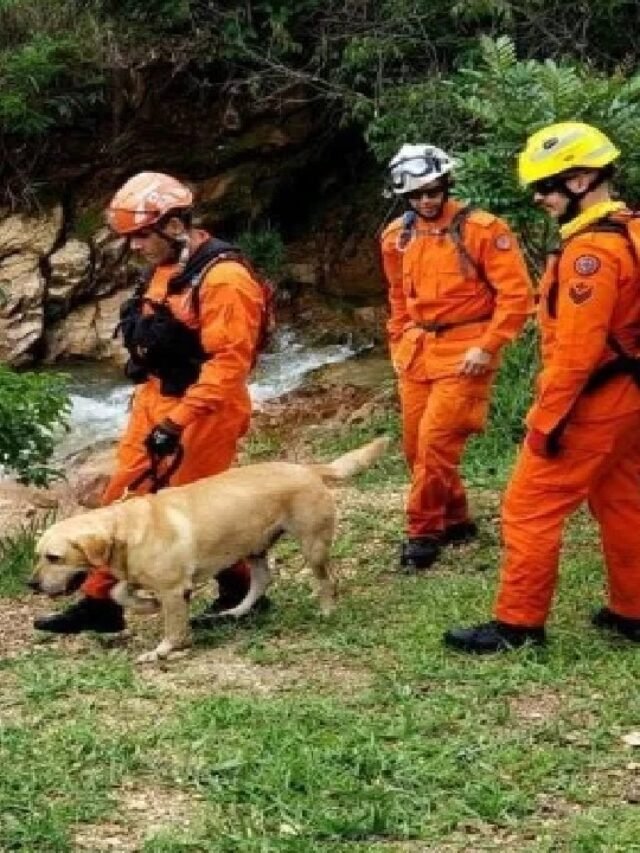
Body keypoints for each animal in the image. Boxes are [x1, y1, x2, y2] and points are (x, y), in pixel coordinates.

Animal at [30, 436, 388, 664]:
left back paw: (326, 610)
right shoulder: (140, 577)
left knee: (327, 580)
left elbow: (174, 629)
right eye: (37, 554)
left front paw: (161, 651)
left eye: (53, 557)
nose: (30, 584)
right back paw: (235, 611)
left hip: (312, 545)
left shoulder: (174, 590)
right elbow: (119, 592)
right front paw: (146, 605)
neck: (125, 527)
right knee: (262, 581)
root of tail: (309, 469)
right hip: (253, 547)